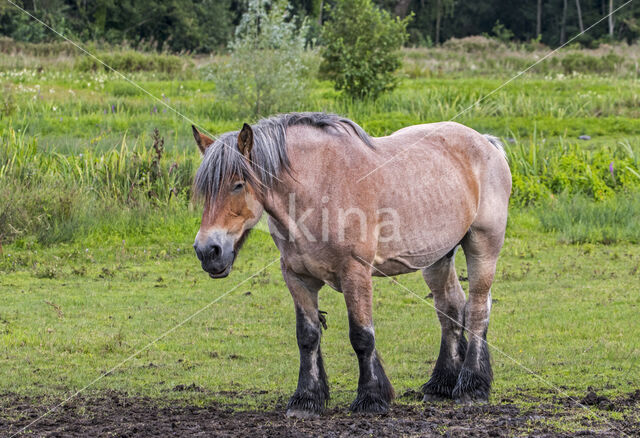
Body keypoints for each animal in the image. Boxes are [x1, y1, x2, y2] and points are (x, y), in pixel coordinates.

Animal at [190, 113, 510, 418]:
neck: (319, 188)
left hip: (483, 245)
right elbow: (307, 337)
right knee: (450, 309)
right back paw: (440, 385)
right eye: (204, 190)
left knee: (477, 309)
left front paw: (370, 398)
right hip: (437, 257)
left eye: (238, 184)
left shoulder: (355, 273)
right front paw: (306, 400)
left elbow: (362, 336)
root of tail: (486, 142)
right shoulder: (297, 277)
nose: (208, 251)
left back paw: (471, 387)